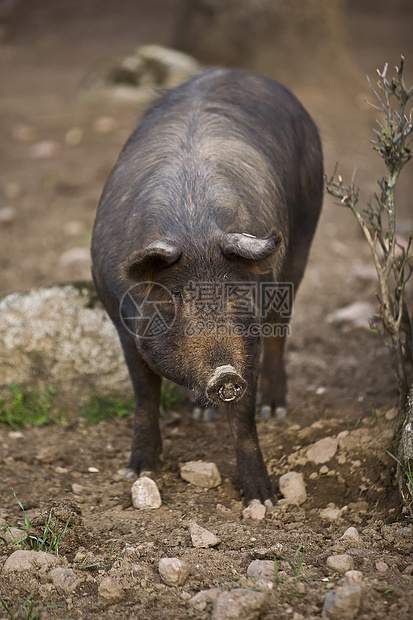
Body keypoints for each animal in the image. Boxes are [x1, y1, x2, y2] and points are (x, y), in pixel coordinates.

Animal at [91, 68, 322, 506]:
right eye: (176, 296)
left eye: (233, 292)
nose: (225, 374)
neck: (193, 226)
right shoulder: (122, 326)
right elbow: (145, 396)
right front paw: (138, 471)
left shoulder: (249, 339)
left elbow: (244, 420)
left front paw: (262, 500)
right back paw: (204, 412)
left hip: (303, 234)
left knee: (282, 328)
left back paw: (274, 409)